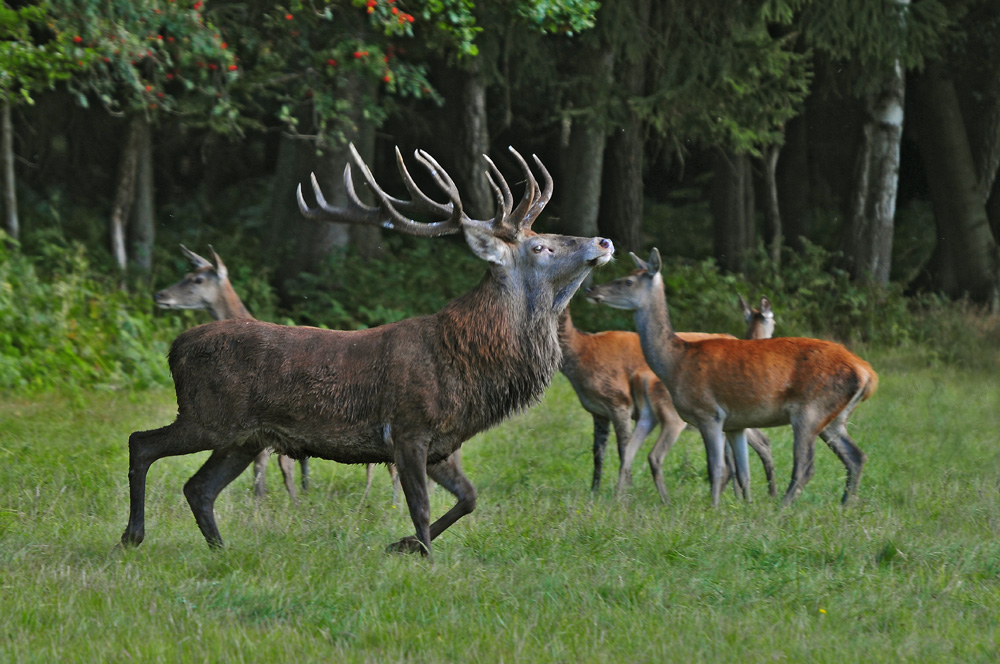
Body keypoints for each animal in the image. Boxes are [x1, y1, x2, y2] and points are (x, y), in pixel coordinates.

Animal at [560, 292, 776, 504]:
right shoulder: (599, 411)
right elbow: (599, 453)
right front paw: (595, 492)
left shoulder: (618, 402)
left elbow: (617, 449)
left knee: (759, 444)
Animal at [584, 252, 876, 506]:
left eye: (627, 281)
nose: (592, 290)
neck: (676, 362)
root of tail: (867, 373)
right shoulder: (736, 424)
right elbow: (743, 472)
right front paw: (743, 506)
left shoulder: (709, 413)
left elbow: (717, 468)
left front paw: (714, 508)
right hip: (834, 417)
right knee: (856, 456)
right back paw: (845, 505)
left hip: (810, 409)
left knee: (806, 466)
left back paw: (782, 508)